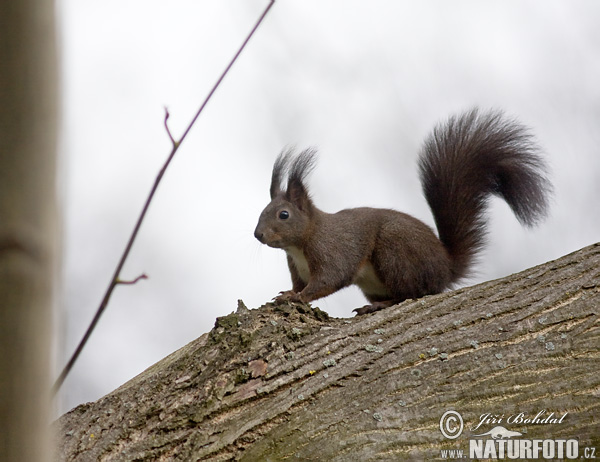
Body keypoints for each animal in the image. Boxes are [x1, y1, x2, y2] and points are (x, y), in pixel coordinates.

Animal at [251, 108, 552, 314]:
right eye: (263, 210)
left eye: (283, 214)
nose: (258, 235)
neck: (301, 243)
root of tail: (445, 269)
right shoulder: (297, 269)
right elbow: (299, 284)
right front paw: (286, 293)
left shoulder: (332, 251)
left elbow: (328, 279)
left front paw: (297, 298)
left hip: (395, 252)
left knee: (412, 293)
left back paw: (379, 305)